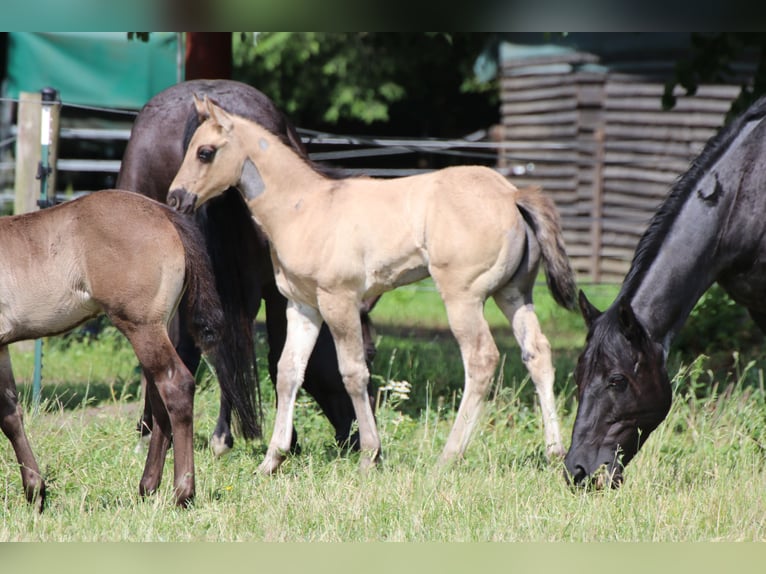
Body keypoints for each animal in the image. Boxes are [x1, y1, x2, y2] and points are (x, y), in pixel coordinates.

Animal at [0, 191, 255, 510]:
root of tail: (163, 213)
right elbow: (10, 415)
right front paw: (35, 491)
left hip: (141, 326)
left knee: (176, 386)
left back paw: (182, 493)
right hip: (156, 328)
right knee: (158, 400)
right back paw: (148, 487)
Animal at [115, 80, 376, 460]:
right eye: (371, 353)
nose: (355, 438)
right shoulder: (280, 293)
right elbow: (279, 356)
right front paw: (285, 439)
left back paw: (157, 431)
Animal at [168, 98, 576, 476]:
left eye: (205, 152)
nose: (176, 197)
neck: (302, 207)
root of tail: (511, 195)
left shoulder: (339, 301)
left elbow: (352, 373)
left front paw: (369, 455)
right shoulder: (302, 306)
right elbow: (288, 373)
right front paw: (272, 460)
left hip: (464, 297)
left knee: (481, 359)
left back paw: (448, 456)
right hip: (514, 294)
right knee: (538, 354)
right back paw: (555, 452)